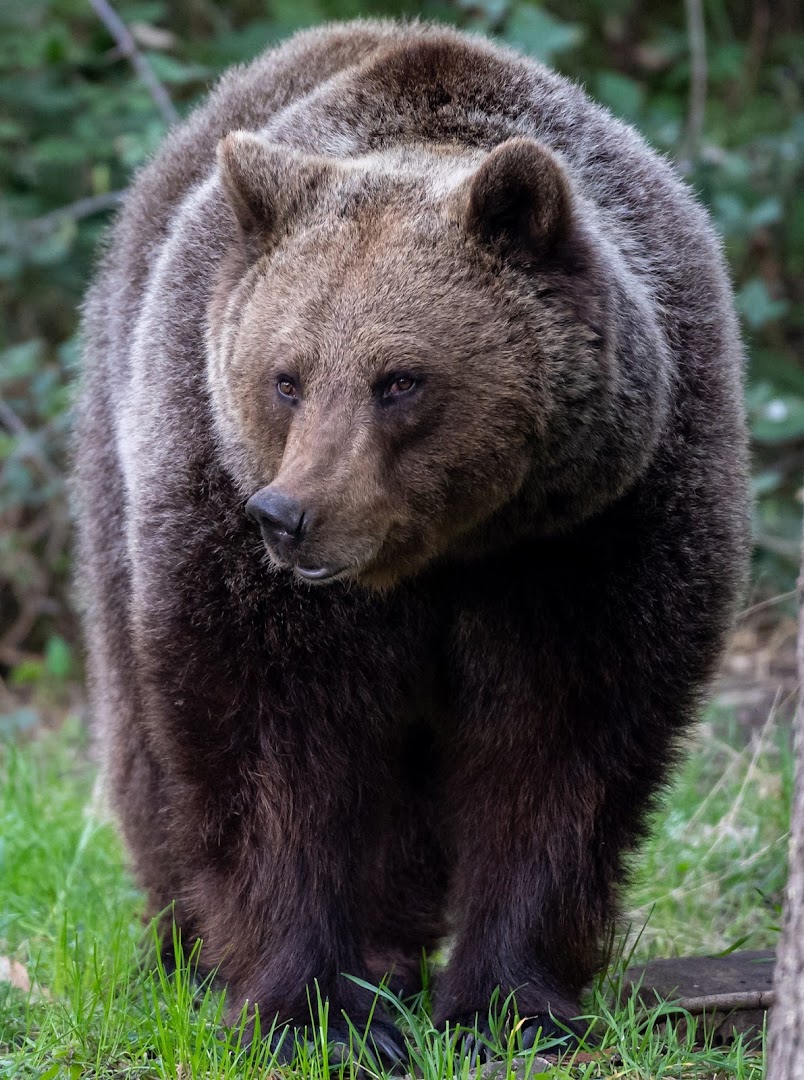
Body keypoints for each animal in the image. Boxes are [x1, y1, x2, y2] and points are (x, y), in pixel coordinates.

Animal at [74, 17, 749, 1064]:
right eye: (286, 377)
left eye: (400, 380)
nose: (288, 514)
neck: (448, 551)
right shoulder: (229, 524)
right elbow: (272, 750)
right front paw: (316, 1015)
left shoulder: (601, 530)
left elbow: (562, 747)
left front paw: (506, 1005)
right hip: (120, 457)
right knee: (146, 745)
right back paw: (189, 950)